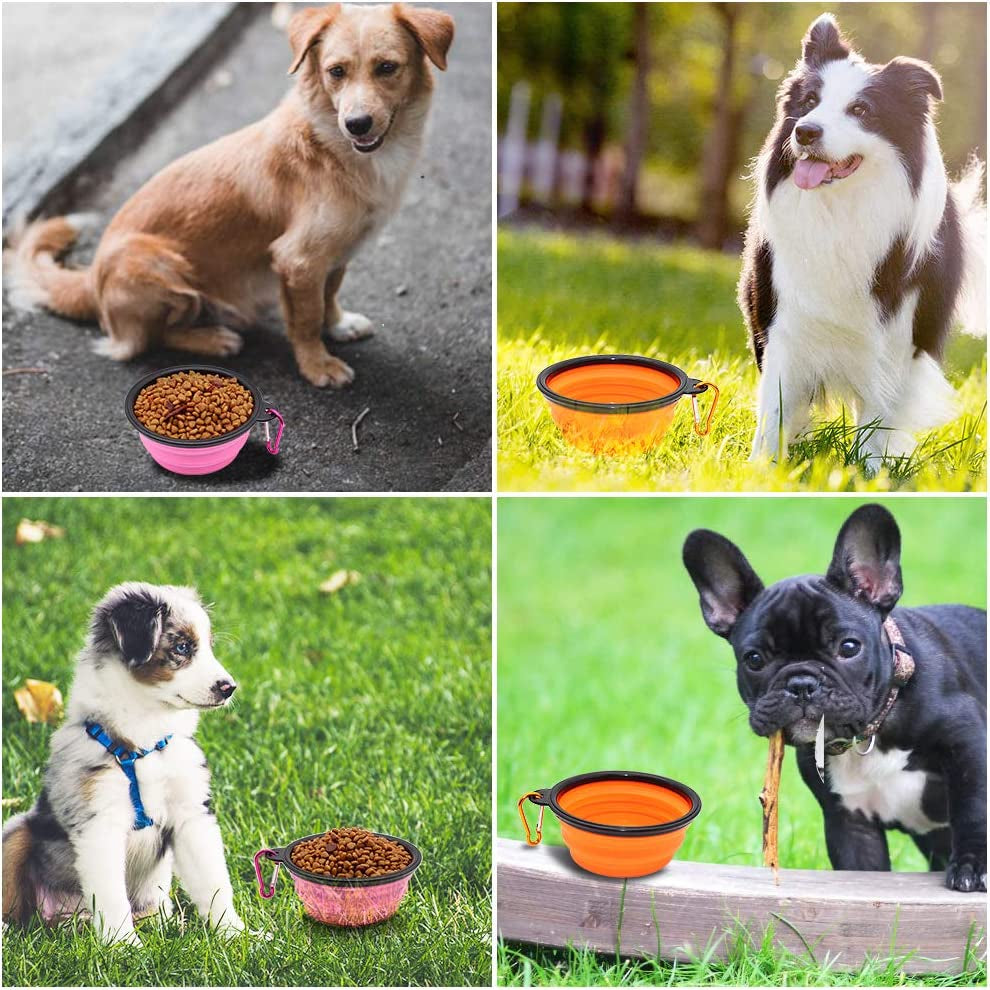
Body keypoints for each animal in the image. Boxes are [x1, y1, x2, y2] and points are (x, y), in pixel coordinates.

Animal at [2, 584, 246, 948]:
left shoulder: (191, 815)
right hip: (17, 832)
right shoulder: (99, 822)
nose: (229, 687)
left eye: (208, 647)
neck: (144, 743)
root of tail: (64, 918)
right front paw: (123, 947)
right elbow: (111, 894)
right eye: (183, 647)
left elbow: (213, 882)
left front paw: (238, 936)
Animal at [7, 3, 456, 388]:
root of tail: (91, 278)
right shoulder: (299, 259)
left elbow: (329, 294)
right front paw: (317, 364)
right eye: (336, 71)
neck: (332, 146)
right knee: (149, 339)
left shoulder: (338, 252)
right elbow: (306, 319)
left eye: (387, 68)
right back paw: (212, 338)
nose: (357, 124)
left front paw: (339, 324)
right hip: (158, 266)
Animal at [744, 14, 984, 464]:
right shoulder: (783, 320)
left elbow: (876, 416)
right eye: (809, 102)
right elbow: (775, 405)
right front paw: (764, 467)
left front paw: (867, 470)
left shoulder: (894, 339)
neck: (841, 210)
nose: (805, 132)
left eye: (860, 110)